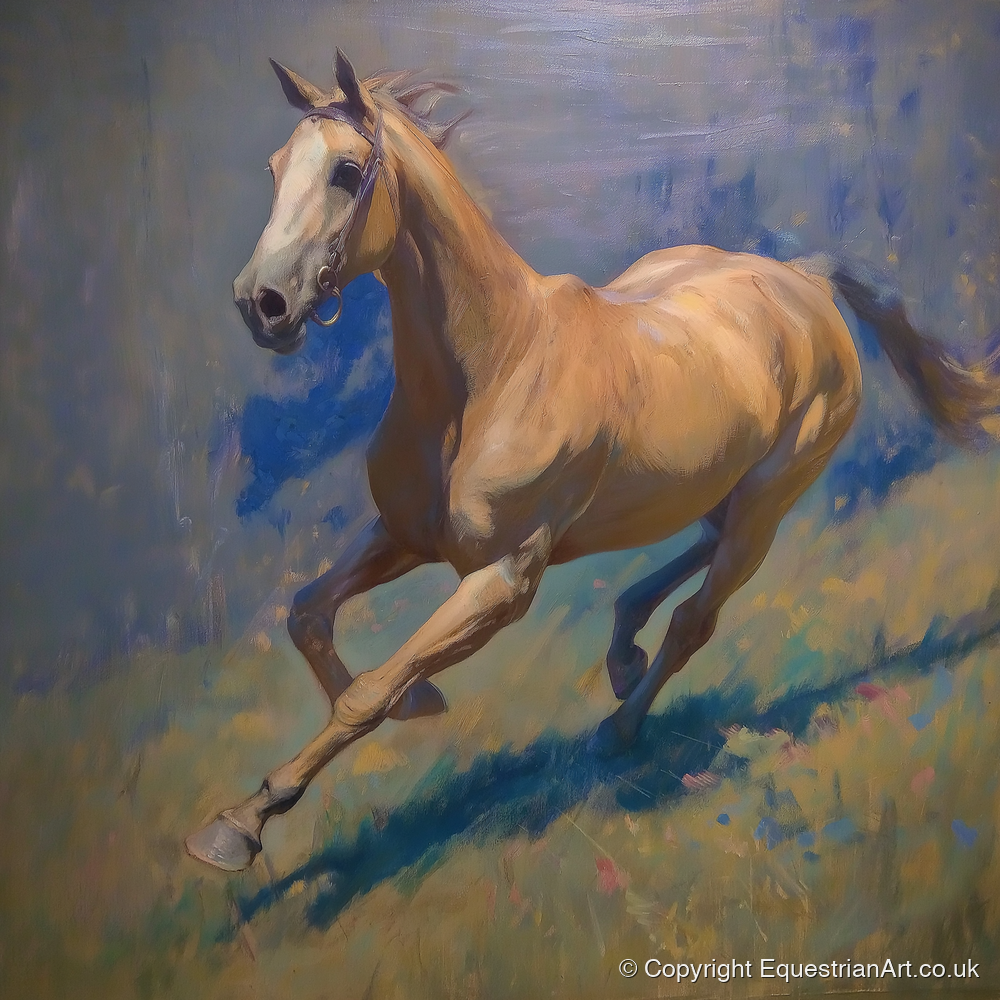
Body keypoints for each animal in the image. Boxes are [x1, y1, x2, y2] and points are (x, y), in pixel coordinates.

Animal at [186, 50, 1000, 872]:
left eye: (347, 171)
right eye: (275, 166)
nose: (262, 304)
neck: (493, 369)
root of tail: (805, 279)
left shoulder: (503, 582)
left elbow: (370, 689)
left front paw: (239, 826)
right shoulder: (405, 536)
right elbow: (307, 614)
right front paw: (416, 703)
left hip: (768, 503)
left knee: (698, 615)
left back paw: (620, 723)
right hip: (717, 487)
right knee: (695, 548)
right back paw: (623, 647)